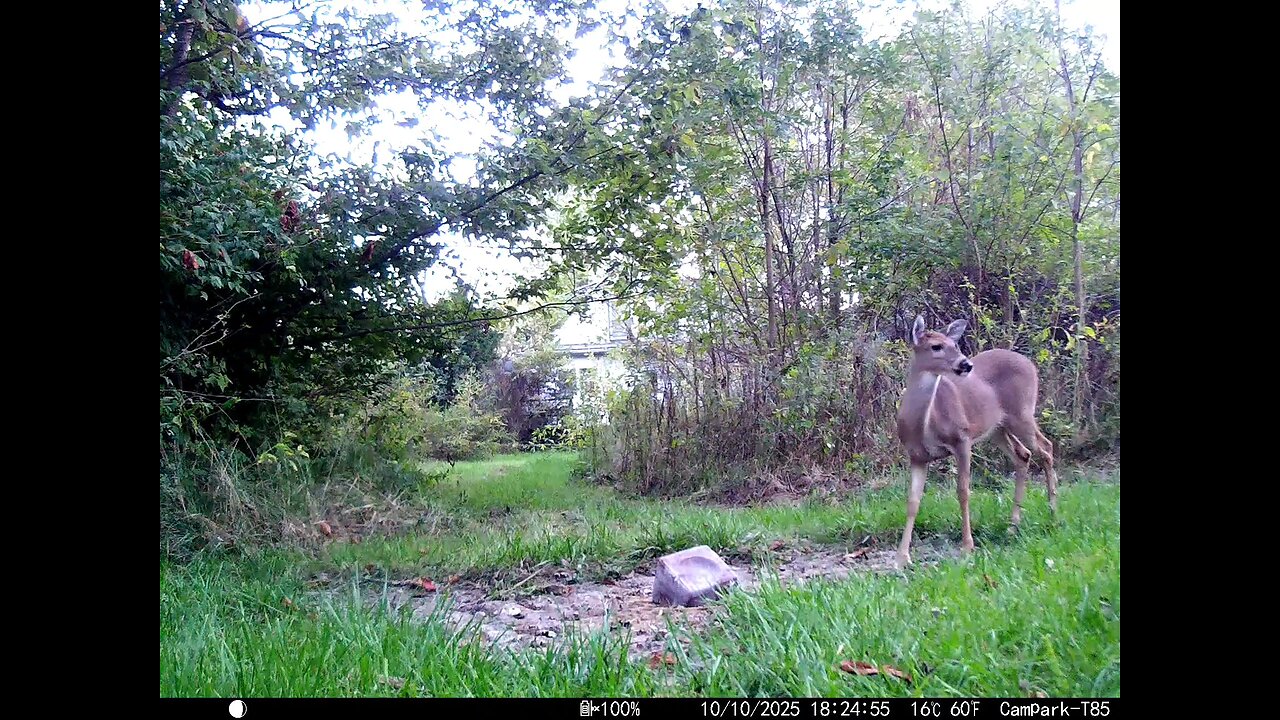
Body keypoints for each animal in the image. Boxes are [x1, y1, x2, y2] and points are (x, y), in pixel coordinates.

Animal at [894, 314, 1059, 568]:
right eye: (936, 346)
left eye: (955, 344)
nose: (966, 364)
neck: (924, 423)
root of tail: (1030, 364)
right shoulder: (916, 455)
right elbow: (912, 501)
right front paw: (902, 557)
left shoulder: (962, 439)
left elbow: (963, 491)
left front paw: (967, 547)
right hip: (997, 428)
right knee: (1023, 454)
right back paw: (1013, 526)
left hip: (1021, 414)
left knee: (1046, 447)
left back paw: (1053, 515)